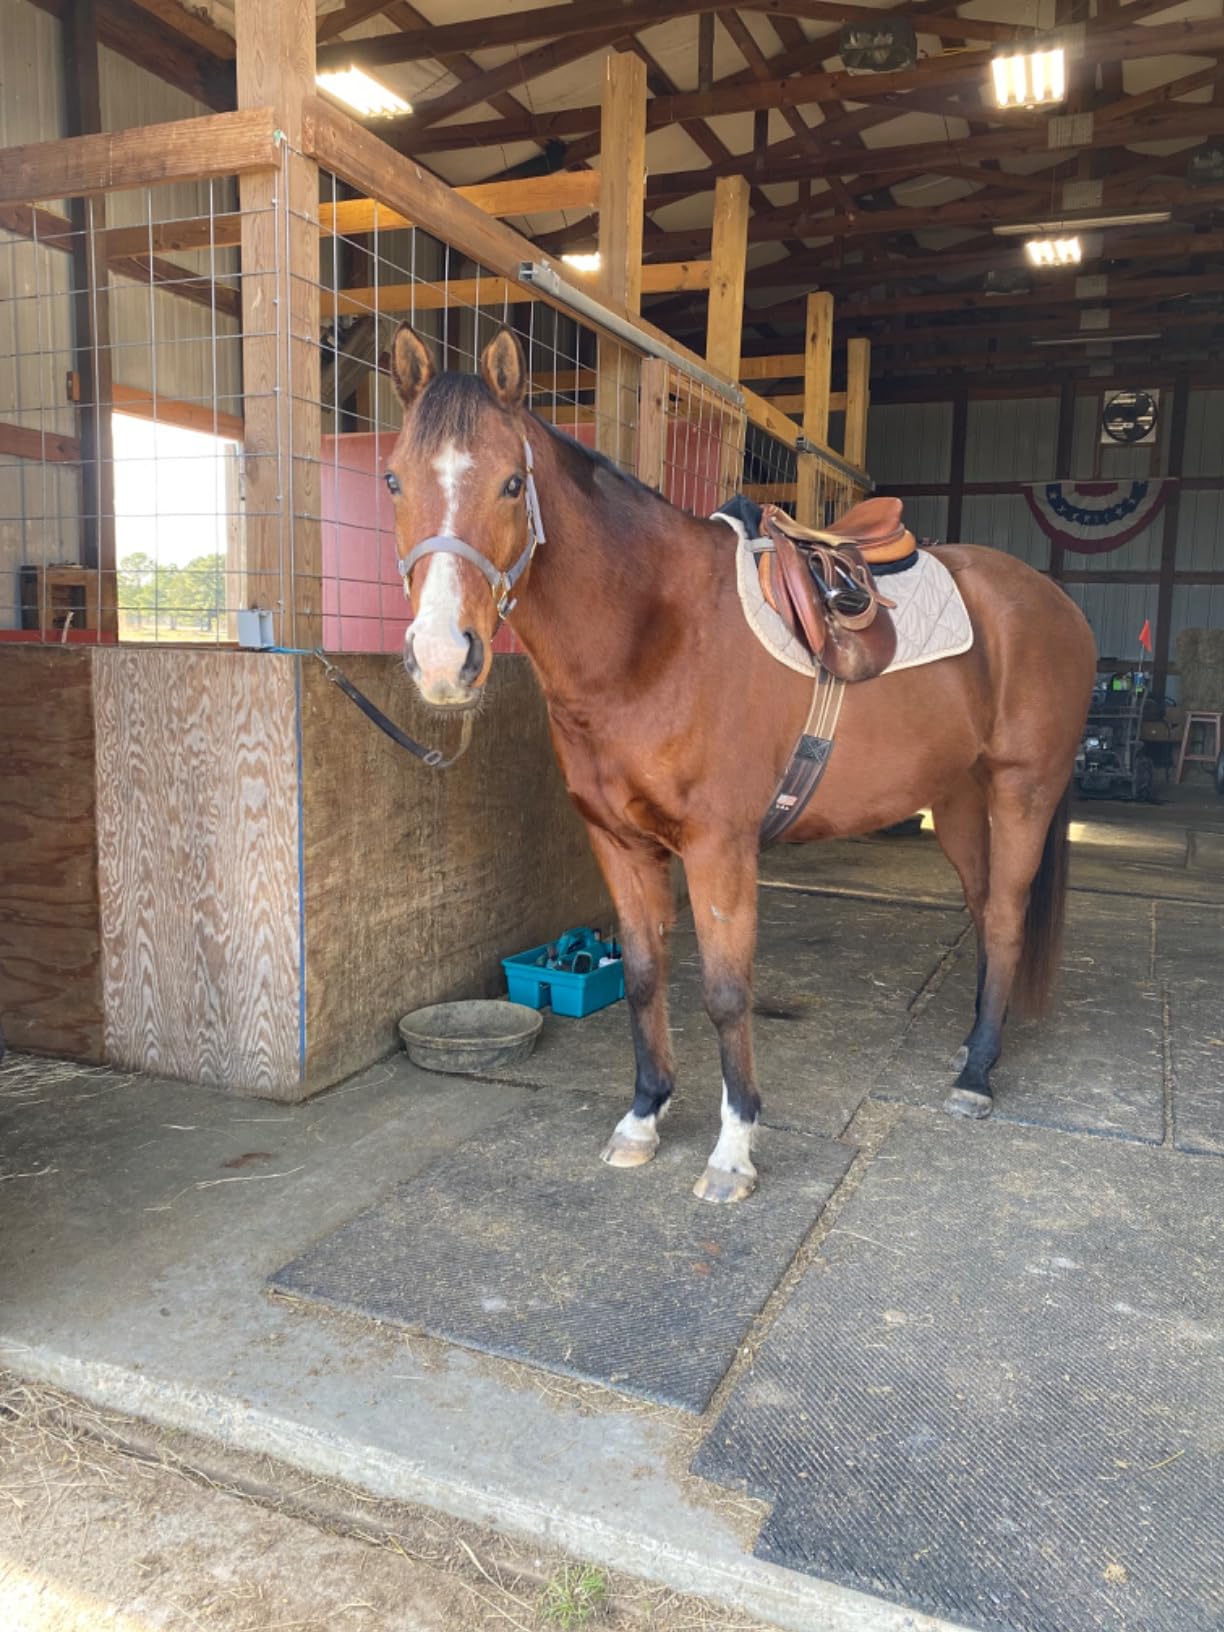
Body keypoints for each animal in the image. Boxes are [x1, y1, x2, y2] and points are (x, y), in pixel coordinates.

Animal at [383, 324, 1097, 1203]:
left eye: (513, 484)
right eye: (394, 480)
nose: (443, 660)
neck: (654, 635)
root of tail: (1053, 600)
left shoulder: (719, 849)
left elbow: (726, 995)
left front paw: (734, 1150)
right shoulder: (620, 844)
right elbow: (645, 976)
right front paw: (644, 1115)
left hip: (1022, 789)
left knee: (1002, 915)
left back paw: (977, 1076)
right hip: (960, 799)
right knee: (985, 909)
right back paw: (972, 1047)